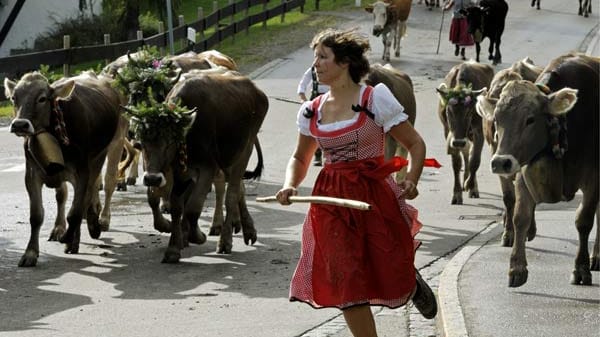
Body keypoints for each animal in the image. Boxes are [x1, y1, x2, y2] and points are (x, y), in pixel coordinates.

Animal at [2, 71, 121, 266]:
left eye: (42, 98)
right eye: (14, 98)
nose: (20, 124)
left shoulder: (82, 172)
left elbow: (75, 212)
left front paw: (68, 238)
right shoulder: (32, 175)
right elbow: (36, 216)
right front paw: (30, 253)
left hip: (100, 156)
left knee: (90, 193)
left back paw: (83, 231)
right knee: (65, 196)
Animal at [125, 71, 268, 262]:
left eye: (170, 141)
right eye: (143, 142)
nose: (152, 178)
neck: (188, 133)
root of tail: (256, 91)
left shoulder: (208, 168)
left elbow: (193, 208)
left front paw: (197, 236)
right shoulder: (177, 172)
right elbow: (176, 206)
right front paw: (174, 246)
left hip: (244, 150)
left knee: (231, 194)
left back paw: (226, 240)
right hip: (227, 159)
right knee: (239, 191)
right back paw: (246, 230)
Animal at [436, 59, 492, 203]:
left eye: (469, 112)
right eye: (448, 111)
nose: (458, 142)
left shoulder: (479, 132)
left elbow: (475, 160)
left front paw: (471, 186)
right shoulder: (449, 133)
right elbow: (456, 163)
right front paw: (456, 194)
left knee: (470, 153)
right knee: (466, 152)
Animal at [476, 57, 548, 245]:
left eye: (528, 119)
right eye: (495, 118)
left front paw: (529, 230)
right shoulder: (498, 159)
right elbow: (509, 198)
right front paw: (508, 233)